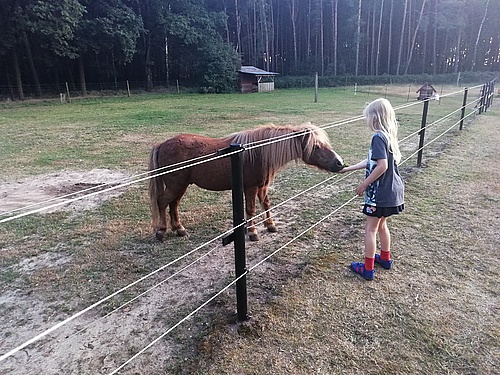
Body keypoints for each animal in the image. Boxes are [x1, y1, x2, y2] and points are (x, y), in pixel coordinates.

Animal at [148, 123, 344, 241]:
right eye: (316, 146)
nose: (339, 162)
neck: (258, 152)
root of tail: (161, 144)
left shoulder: (262, 187)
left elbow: (265, 204)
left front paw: (270, 225)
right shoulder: (250, 188)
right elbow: (251, 209)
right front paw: (252, 232)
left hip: (180, 186)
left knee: (173, 205)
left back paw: (179, 229)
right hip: (176, 186)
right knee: (162, 202)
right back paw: (161, 231)